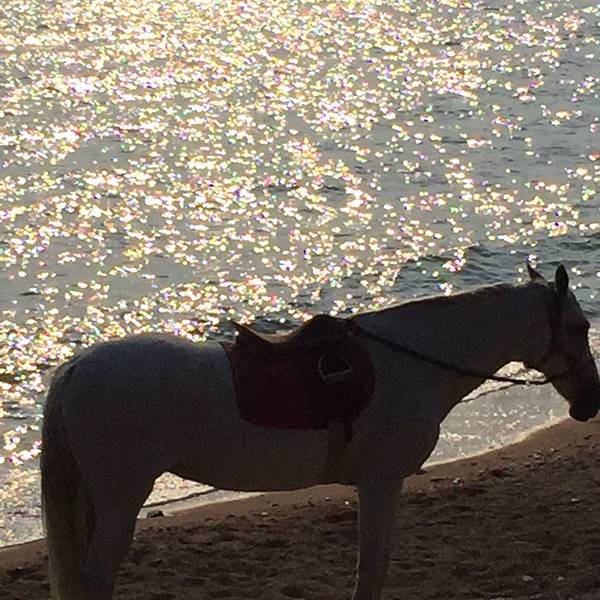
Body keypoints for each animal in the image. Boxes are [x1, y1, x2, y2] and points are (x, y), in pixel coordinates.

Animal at [41, 264, 600, 600]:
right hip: (121, 498)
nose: (590, 403)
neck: (412, 363)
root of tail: (76, 369)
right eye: (580, 327)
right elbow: (371, 568)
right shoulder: (381, 482)